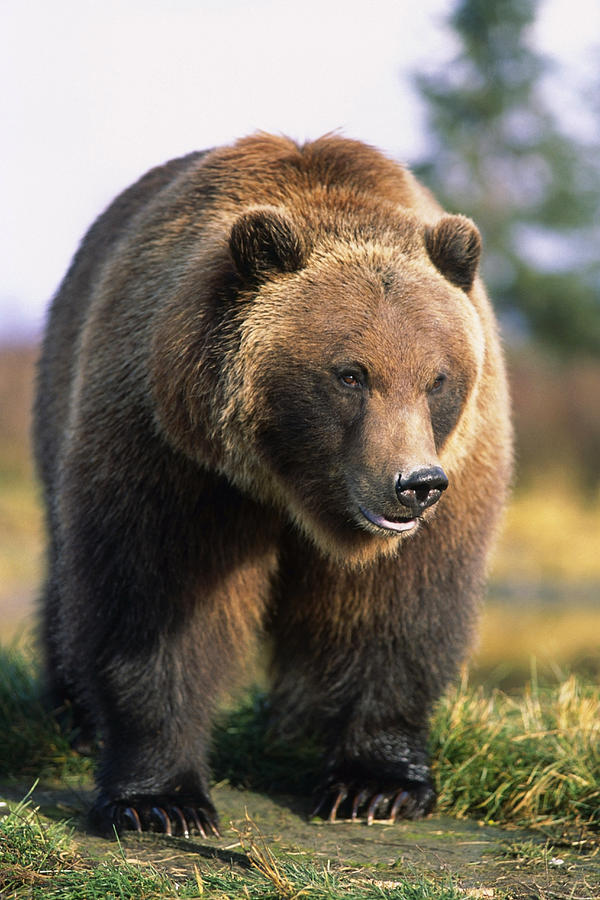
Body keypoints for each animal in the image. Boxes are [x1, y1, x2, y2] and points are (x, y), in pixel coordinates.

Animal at [31, 134, 510, 836]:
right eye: (350, 374)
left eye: (438, 378)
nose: (414, 484)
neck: (293, 483)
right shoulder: (174, 456)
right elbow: (152, 600)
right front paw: (160, 801)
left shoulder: (460, 467)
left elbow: (400, 608)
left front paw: (375, 786)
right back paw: (74, 716)